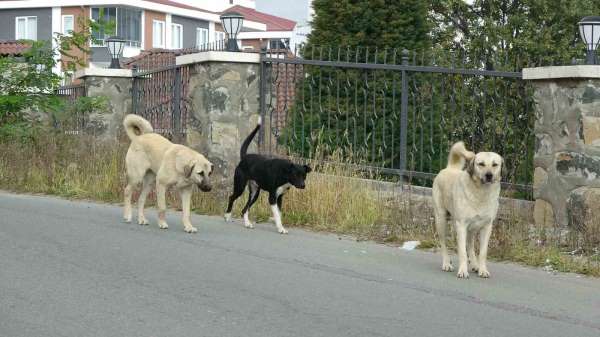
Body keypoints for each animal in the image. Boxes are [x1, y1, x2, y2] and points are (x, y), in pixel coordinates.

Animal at [434, 142, 504, 278]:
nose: (489, 175)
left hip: (472, 229)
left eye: (495, 164)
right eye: (481, 164)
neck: (481, 193)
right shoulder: (461, 225)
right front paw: (462, 271)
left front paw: (482, 270)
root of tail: (449, 168)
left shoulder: (487, 227)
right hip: (441, 220)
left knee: (470, 246)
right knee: (443, 243)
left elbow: (482, 252)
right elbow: (462, 252)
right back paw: (447, 263)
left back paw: (475, 265)